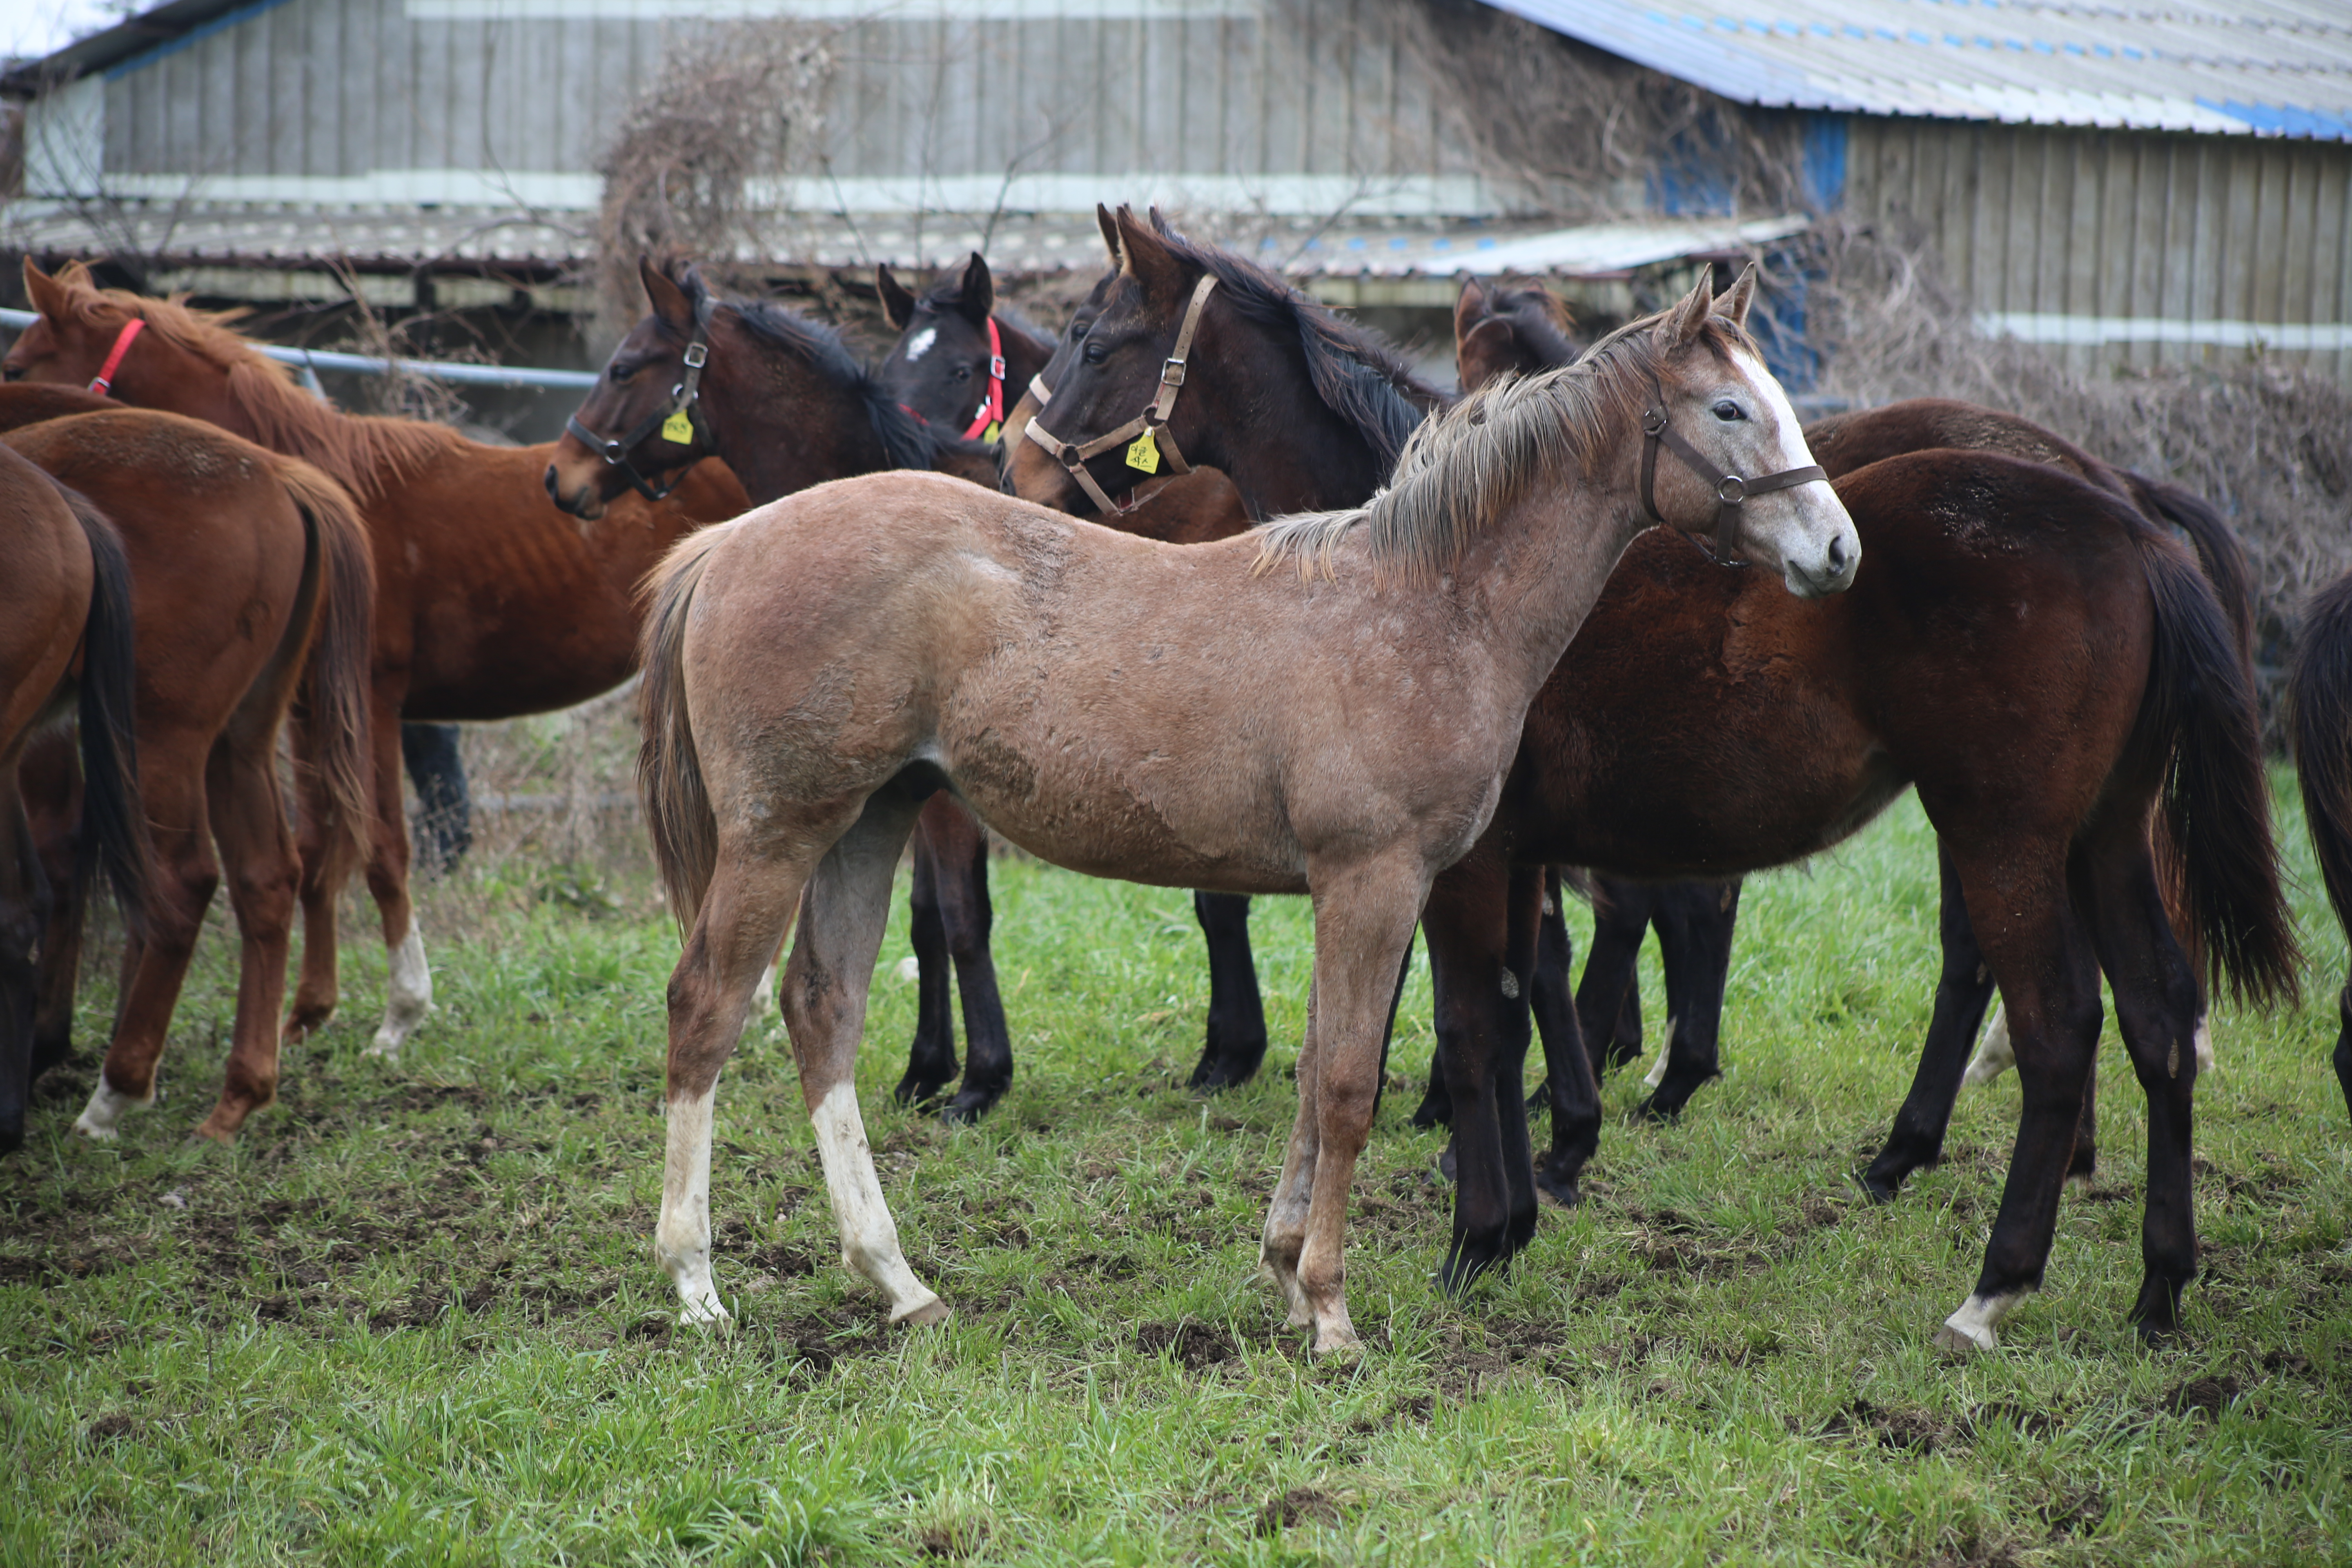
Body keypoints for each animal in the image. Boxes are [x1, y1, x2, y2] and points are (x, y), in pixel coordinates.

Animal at [0, 261, 748, 1067]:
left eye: (18, 367)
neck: (330, 490)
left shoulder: (373, 701)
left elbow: (384, 847)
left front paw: (401, 1014)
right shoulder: (306, 709)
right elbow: (316, 847)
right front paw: (307, 1012)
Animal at [0, 402, 374, 1142]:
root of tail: (278, 474)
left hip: (161, 735)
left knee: (183, 882)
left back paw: (115, 1093)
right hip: (240, 741)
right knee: (265, 876)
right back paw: (238, 1098)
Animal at [635, 270, 1862, 1354]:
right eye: (1728, 409)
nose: (1837, 549)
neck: (1430, 600)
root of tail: (728, 542)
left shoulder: (1356, 888)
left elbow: (1323, 1072)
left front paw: (1281, 1270)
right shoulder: (1376, 879)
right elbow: (1350, 1085)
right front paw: (1329, 1310)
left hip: (868, 820)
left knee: (822, 1011)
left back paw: (898, 1283)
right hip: (779, 833)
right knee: (703, 1009)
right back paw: (695, 1287)